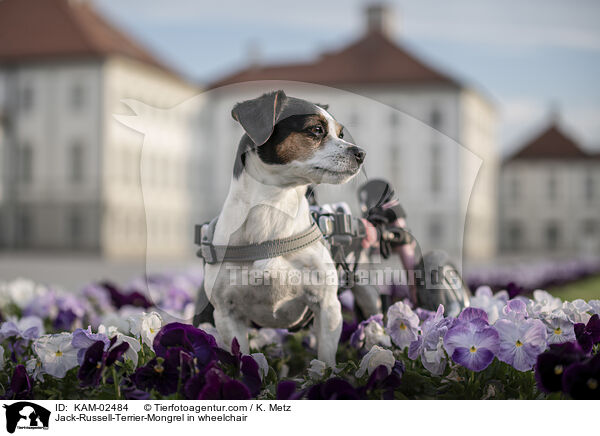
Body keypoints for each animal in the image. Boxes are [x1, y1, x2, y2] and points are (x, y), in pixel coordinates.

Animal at [200, 89, 366, 364]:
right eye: (316, 130)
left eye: (340, 134)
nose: (362, 153)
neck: (272, 209)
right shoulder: (226, 314)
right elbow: (242, 356)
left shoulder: (328, 307)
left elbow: (325, 358)